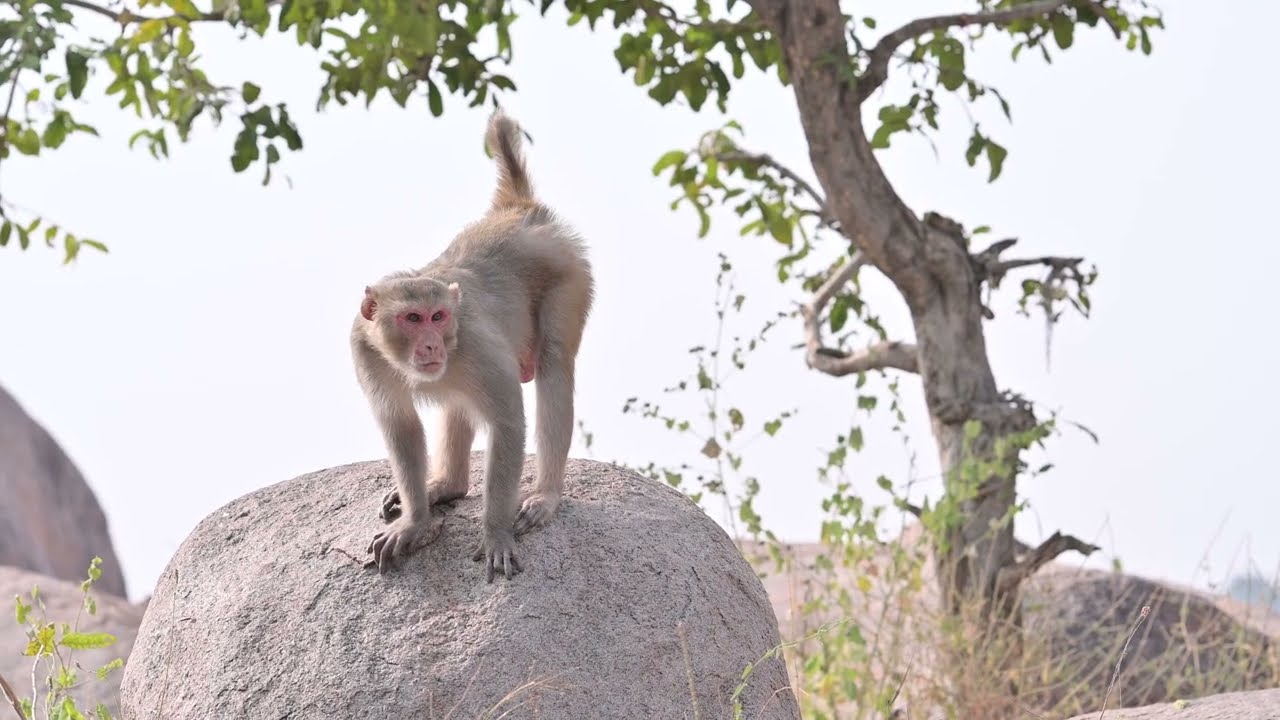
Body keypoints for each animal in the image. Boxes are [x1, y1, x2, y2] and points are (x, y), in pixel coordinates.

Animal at [350, 109, 594, 582]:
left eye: (439, 317)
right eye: (413, 318)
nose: (431, 347)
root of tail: (517, 211)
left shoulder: (475, 344)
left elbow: (507, 423)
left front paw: (496, 533)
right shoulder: (366, 351)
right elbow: (401, 427)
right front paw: (415, 522)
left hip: (569, 272)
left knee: (554, 364)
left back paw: (546, 494)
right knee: (457, 397)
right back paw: (448, 486)